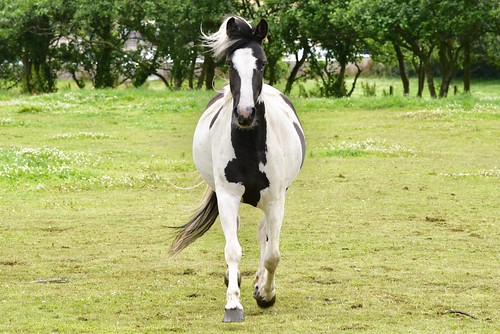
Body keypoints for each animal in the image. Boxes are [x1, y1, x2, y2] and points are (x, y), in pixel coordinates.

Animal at [170, 16, 306, 324]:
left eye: (263, 63)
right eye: (231, 65)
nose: (245, 114)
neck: (250, 147)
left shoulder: (276, 200)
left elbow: (273, 255)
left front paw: (266, 295)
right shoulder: (228, 196)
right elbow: (232, 250)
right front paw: (233, 305)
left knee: (264, 235)